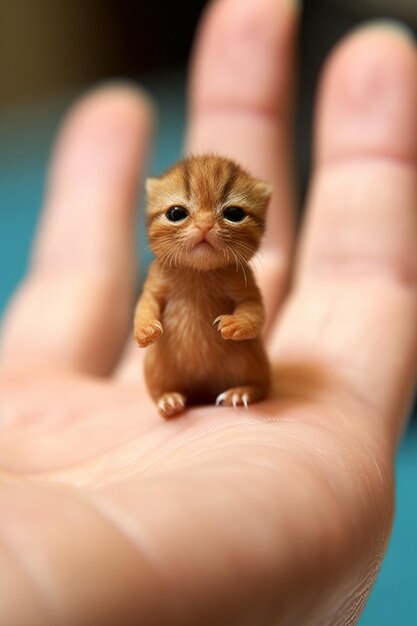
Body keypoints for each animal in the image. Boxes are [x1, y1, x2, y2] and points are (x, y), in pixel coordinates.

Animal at [132, 154, 272, 416]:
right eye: (176, 213)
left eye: (234, 213)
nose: (205, 225)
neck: (198, 273)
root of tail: (202, 393)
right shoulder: (155, 283)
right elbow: (145, 305)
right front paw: (146, 331)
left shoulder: (245, 284)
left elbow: (254, 311)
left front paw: (235, 325)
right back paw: (169, 400)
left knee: (261, 387)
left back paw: (241, 392)